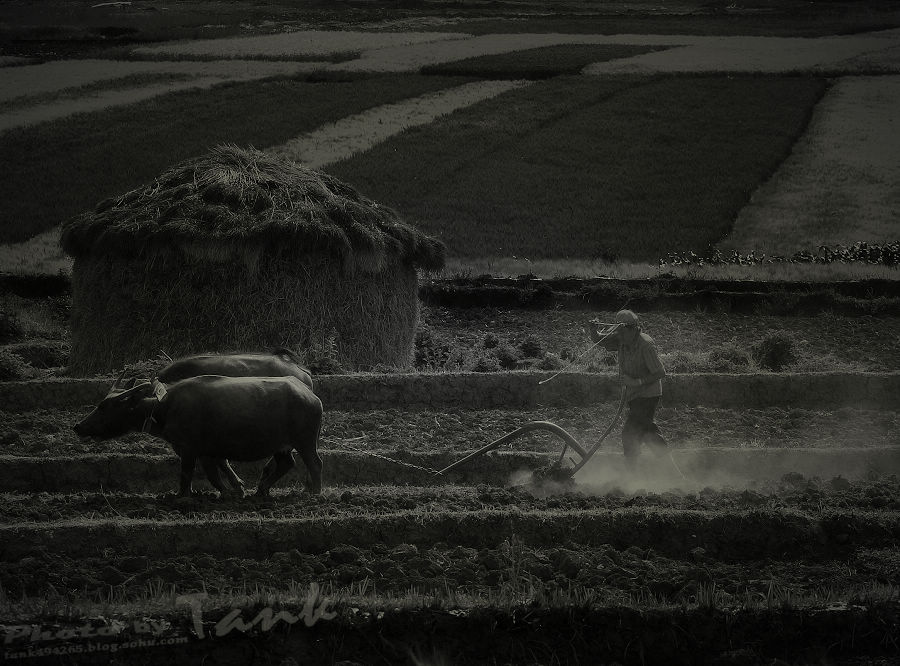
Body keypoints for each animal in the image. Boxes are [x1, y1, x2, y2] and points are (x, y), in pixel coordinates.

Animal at [74, 374, 322, 492]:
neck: (165, 408)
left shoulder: (189, 449)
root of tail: (311, 395)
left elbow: (188, 475)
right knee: (287, 463)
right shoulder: (210, 451)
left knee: (314, 463)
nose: (78, 426)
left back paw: (314, 493)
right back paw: (261, 490)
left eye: (104, 406)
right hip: (282, 446)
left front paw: (183, 496)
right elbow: (220, 470)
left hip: (305, 441)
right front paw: (237, 489)